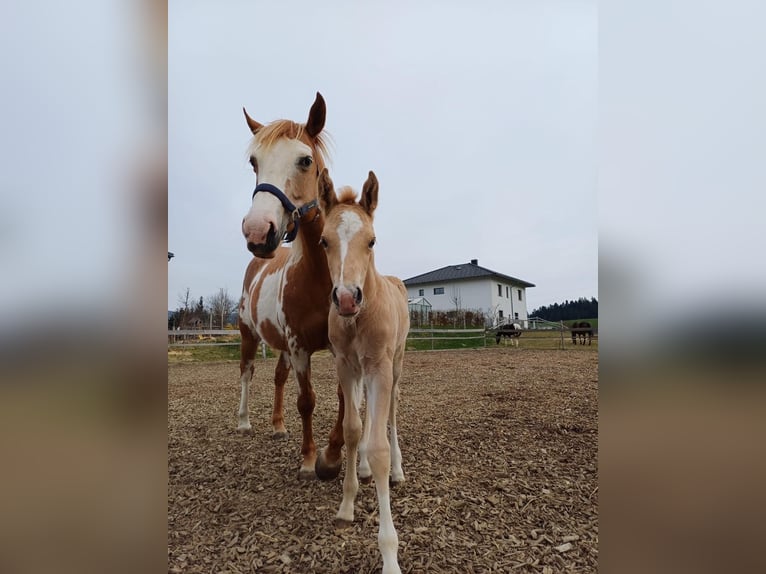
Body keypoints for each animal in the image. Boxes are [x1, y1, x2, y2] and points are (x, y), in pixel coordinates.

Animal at [237, 92, 345, 480]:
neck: (320, 279)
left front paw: (333, 455)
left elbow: (344, 398)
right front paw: (311, 460)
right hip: (249, 335)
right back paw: (244, 422)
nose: (258, 231)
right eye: (254, 162)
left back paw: (278, 426)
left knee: (278, 378)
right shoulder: (299, 348)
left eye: (305, 160)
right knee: (247, 372)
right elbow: (307, 401)